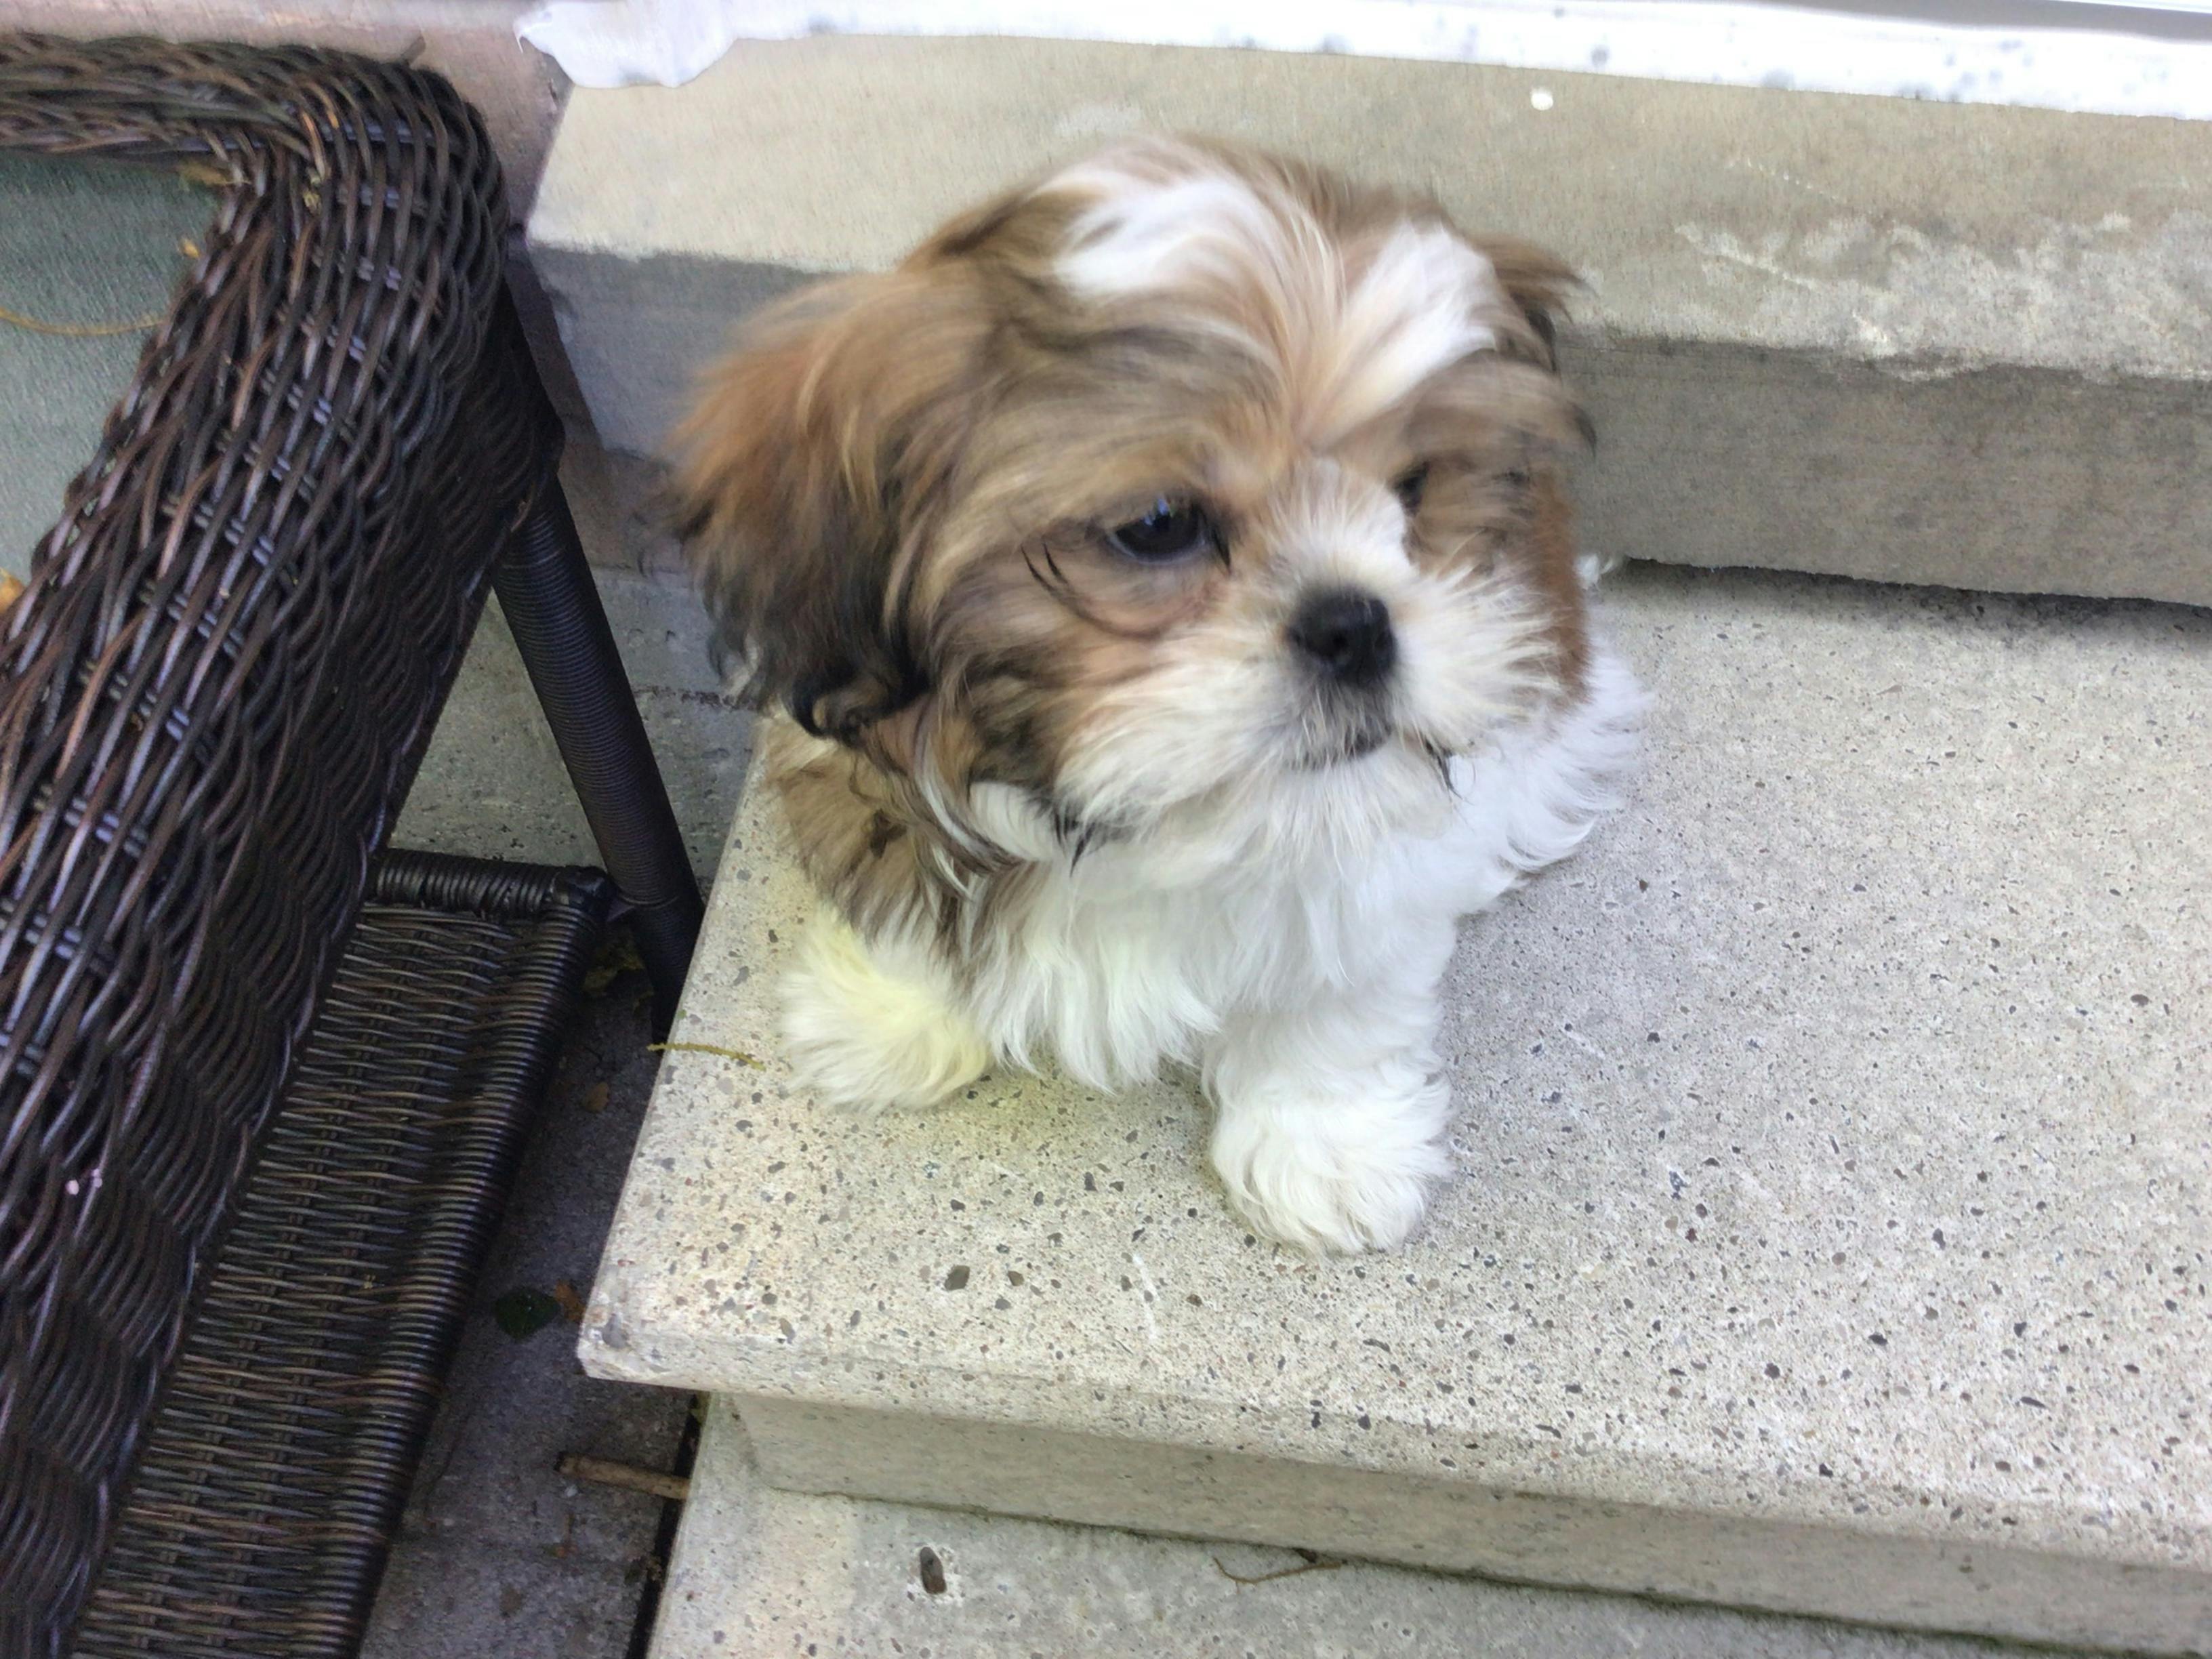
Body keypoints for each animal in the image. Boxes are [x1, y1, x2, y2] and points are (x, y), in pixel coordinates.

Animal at [672, 140, 1645, 1256]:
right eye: (1158, 525)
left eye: (1414, 488)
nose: (1354, 625)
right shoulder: (854, 764)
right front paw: (891, 1013)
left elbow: (1341, 982)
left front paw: (1328, 1141)